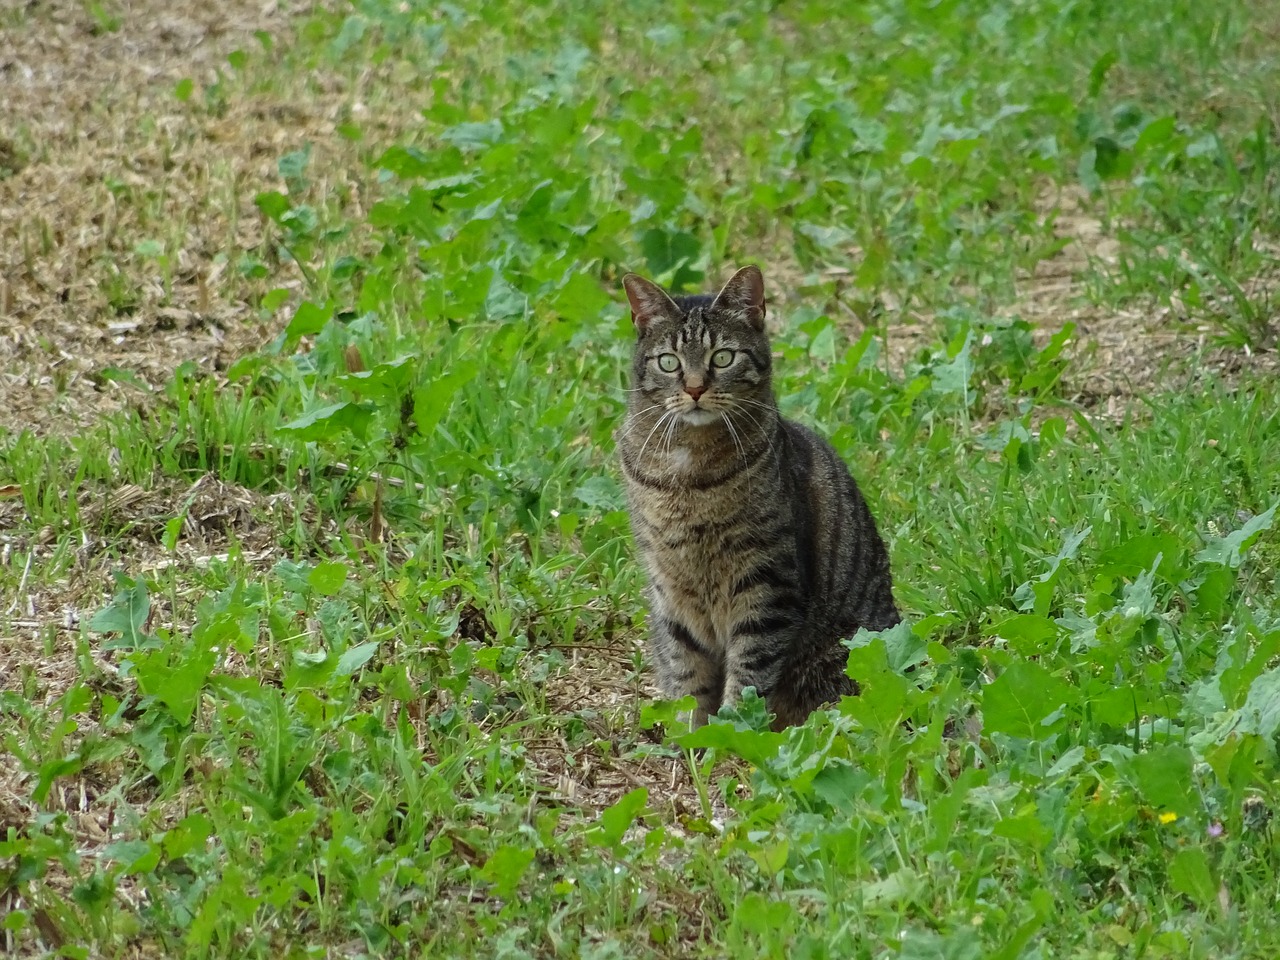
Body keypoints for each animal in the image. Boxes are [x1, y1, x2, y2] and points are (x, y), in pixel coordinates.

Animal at [616, 263, 901, 727]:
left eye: (722, 357)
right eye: (669, 362)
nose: (694, 389)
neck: (688, 472)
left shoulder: (766, 584)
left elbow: (749, 675)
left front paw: (733, 730)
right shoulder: (671, 594)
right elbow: (686, 677)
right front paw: (688, 736)